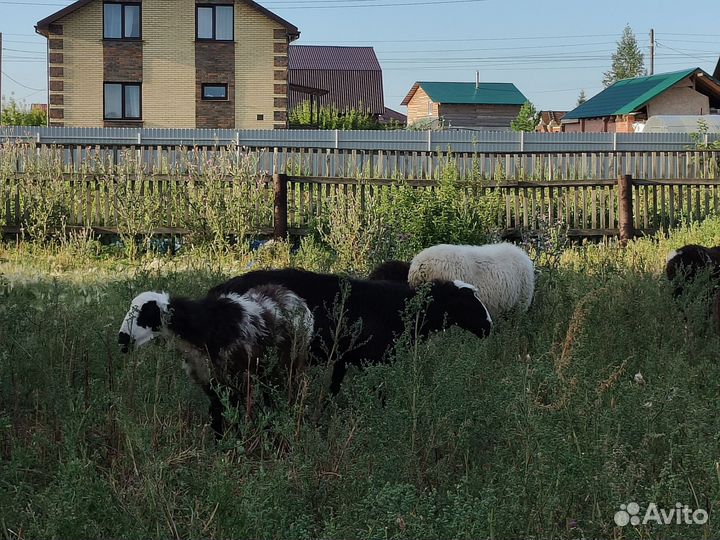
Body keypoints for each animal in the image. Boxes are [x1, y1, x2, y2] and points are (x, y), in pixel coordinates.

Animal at [118, 284, 313, 437]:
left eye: (146, 313)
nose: (122, 339)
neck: (203, 329)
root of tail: (292, 295)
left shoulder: (234, 381)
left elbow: (233, 416)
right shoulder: (210, 382)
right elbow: (216, 417)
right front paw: (220, 446)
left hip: (290, 365)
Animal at [207, 268, 492, 395]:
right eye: (467, 302)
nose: (489, 326)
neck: (396, 308)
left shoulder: (343, 359)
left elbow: (334, 388)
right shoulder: (373, 360)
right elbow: (380, 391)